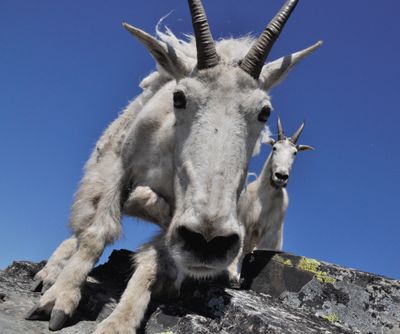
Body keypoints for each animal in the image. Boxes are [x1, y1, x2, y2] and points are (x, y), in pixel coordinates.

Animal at [25, 0, 322, 332]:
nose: (208, 241)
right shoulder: (119, 167)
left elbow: (155, 261)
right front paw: (59, 300)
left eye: (265, 112)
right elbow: (96, 233)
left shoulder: (179, 223)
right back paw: (50, 274)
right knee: (80, 227)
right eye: (179, 97)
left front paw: (120, 321)